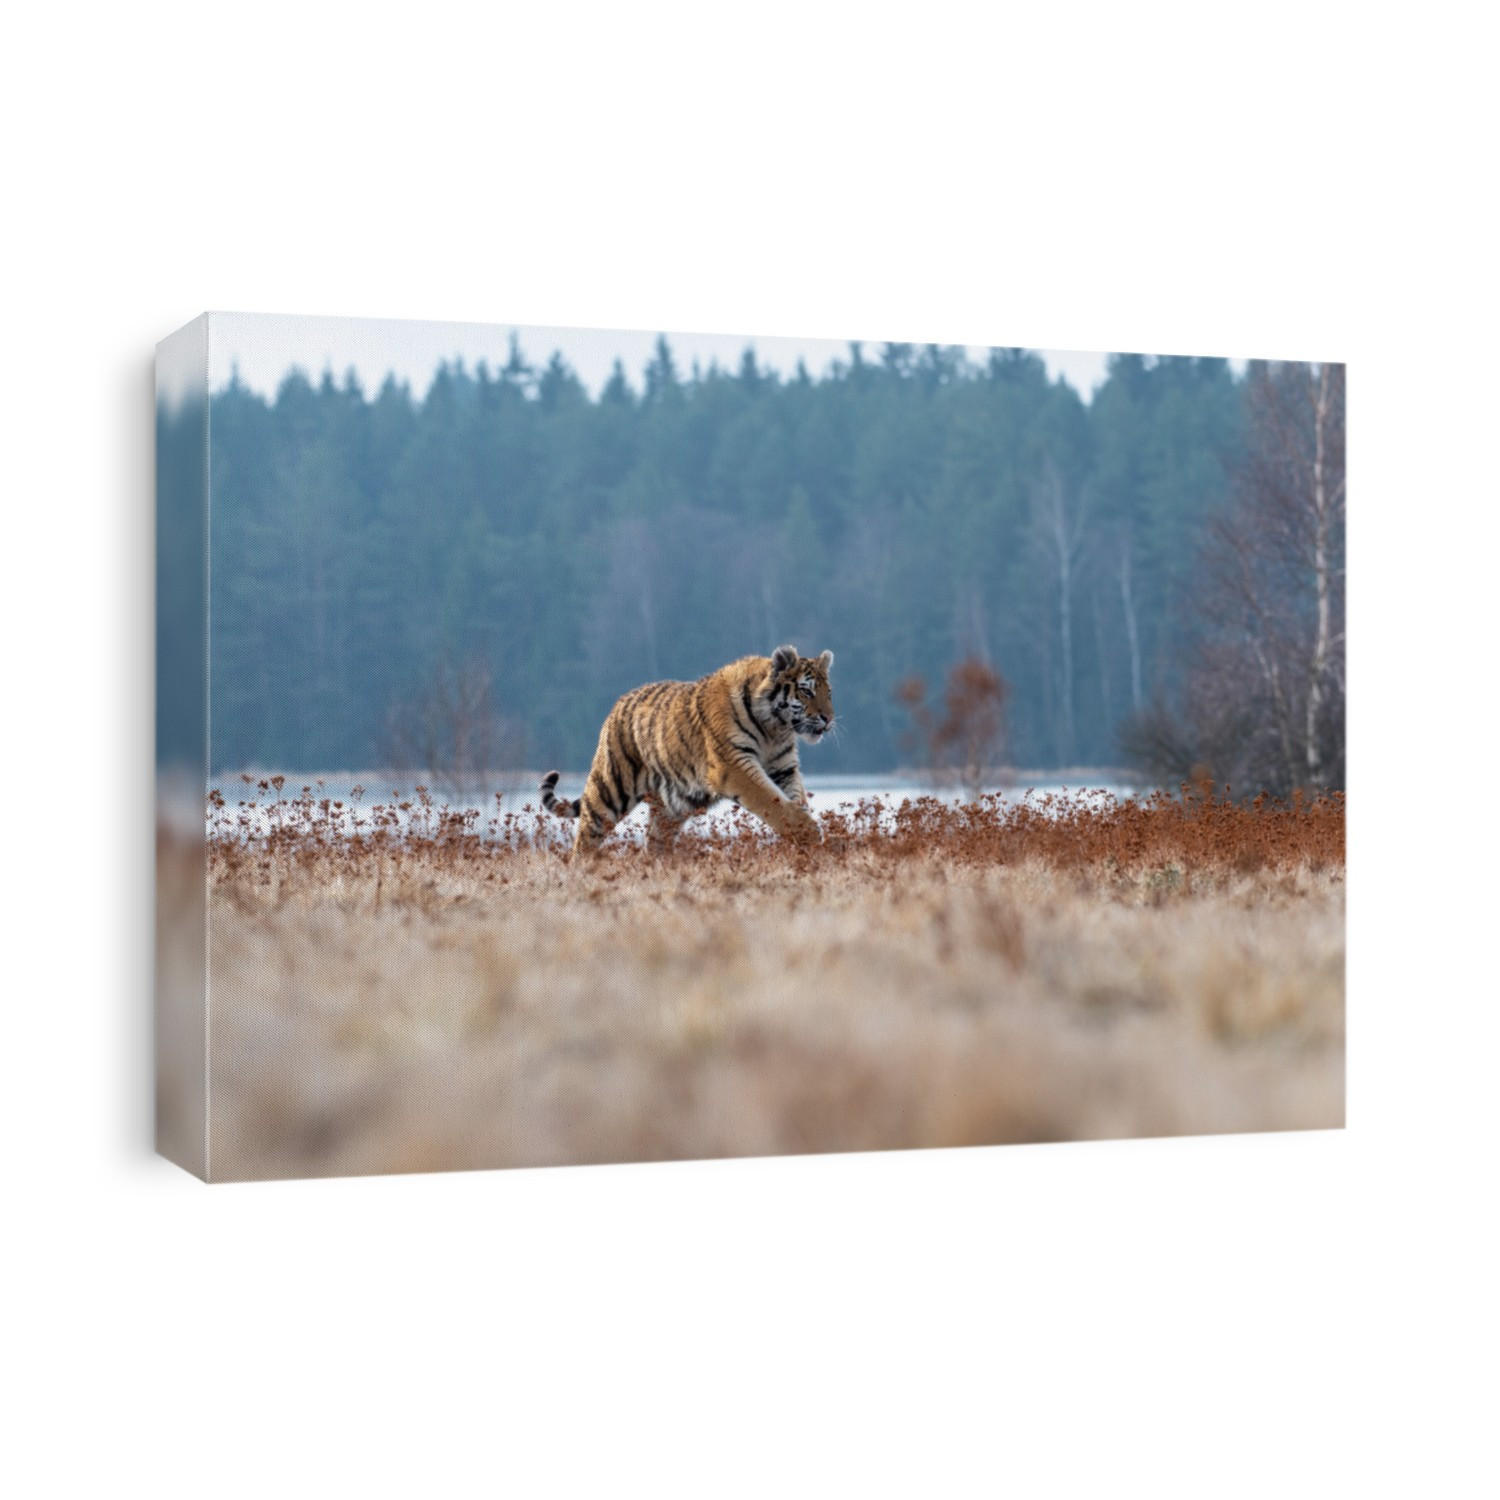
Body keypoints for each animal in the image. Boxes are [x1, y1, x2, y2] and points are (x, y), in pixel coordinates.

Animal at [539, 644, 835, 855]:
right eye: (807, 691)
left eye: (828, 693)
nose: (828, 718)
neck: (775, 727)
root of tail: (618, 704)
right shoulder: (734, 766)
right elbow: (770, 801)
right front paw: (810, 832)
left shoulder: (784, 768)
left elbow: (793, 799)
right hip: (610, 789)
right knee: (587, 836)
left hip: (673, 805)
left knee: (655, 842)